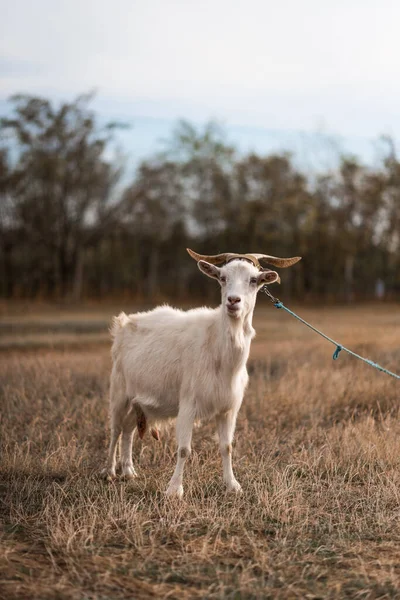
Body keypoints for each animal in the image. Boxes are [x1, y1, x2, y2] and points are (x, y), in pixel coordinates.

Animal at [103, 248, 300, 496]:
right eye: (222, 278)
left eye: (253, 280)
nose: (233, 301)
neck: (219, 348)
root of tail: (124, 322)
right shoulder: (188, 402)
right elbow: (184, 449)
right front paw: (174, 490)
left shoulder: (228, 408)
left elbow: (227, 446)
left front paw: (232, 485)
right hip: (119, 390)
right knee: (115, 429)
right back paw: (109, 472)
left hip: (139, 399)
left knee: (128, 428)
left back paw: (129, 471)